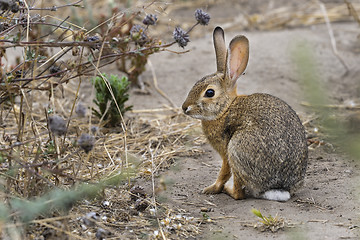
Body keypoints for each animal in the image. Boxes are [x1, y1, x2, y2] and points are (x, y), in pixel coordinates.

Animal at [181, 26, 308, 202]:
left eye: (210, 93)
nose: (184, 107)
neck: (226, 109)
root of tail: (279, 187)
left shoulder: (226, 153)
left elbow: (224, 172)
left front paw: (211, 188)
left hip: (236, 148)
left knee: (238, 194)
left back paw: (228, 190)